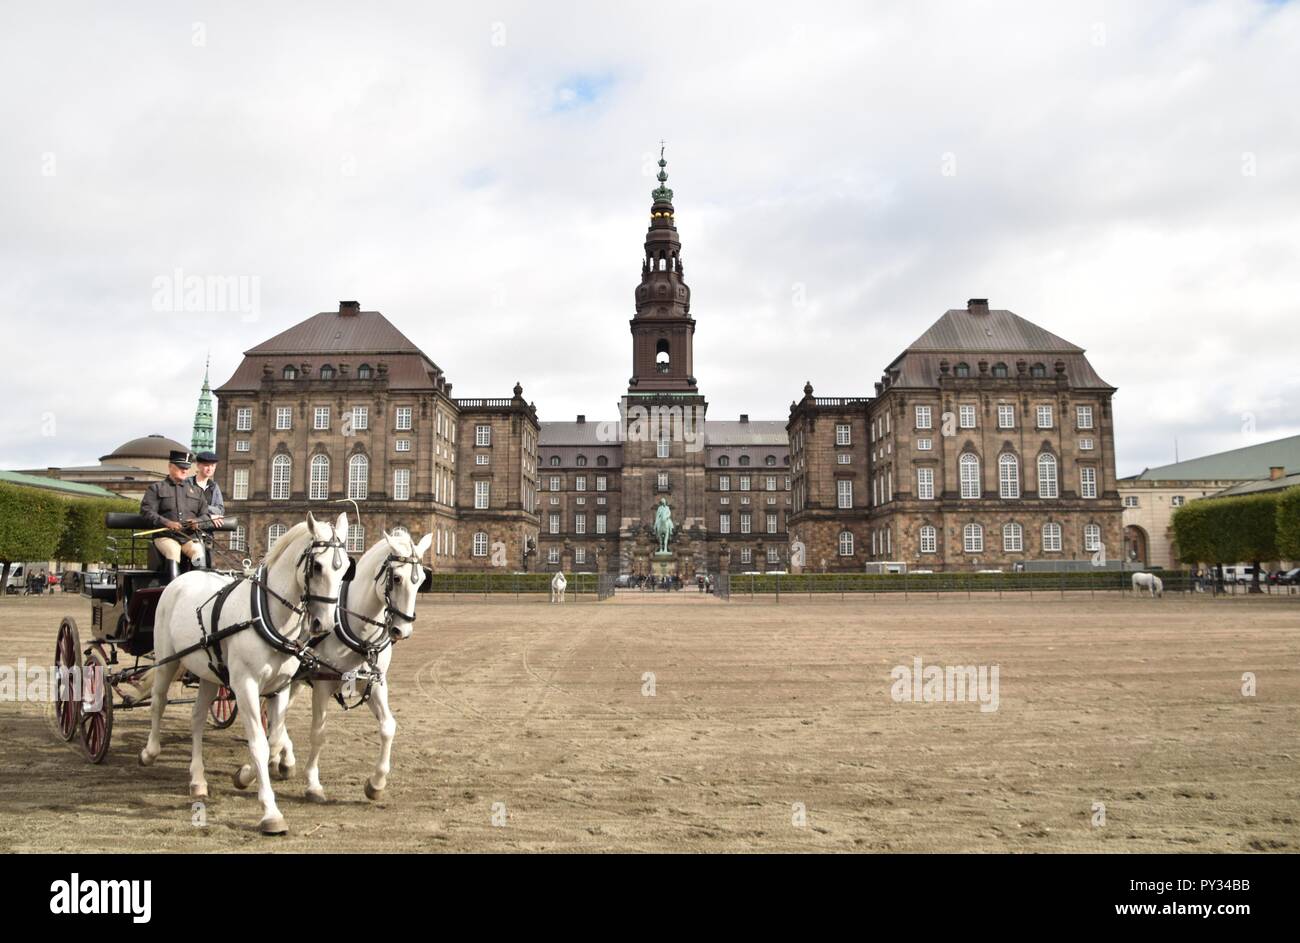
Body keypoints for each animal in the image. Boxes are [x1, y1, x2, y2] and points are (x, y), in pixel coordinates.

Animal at [139, 512, 351, 835]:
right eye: (317, 566)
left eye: (346, 569)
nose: (323, 624)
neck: (268, 614)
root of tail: (181, 579)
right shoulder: (246, 685)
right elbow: (260, 743)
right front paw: (271, 813)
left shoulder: (279, 687)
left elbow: (273, 738)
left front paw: (245, 775)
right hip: (165, 659)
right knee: (158, 700)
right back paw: (149, 752)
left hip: (209, 674)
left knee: (197, 718)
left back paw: (198, 780)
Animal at [243, 530, 430, 804]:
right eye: (396, 578)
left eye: (422, 581)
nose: (402, 630)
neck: (358, 628)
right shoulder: (322, 684)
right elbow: (318, 734)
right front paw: (313, 784)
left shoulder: (375, 682)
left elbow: (388, 727)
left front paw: (376, 783)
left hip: (292, 679)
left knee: (276, 712)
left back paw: (281, 760)